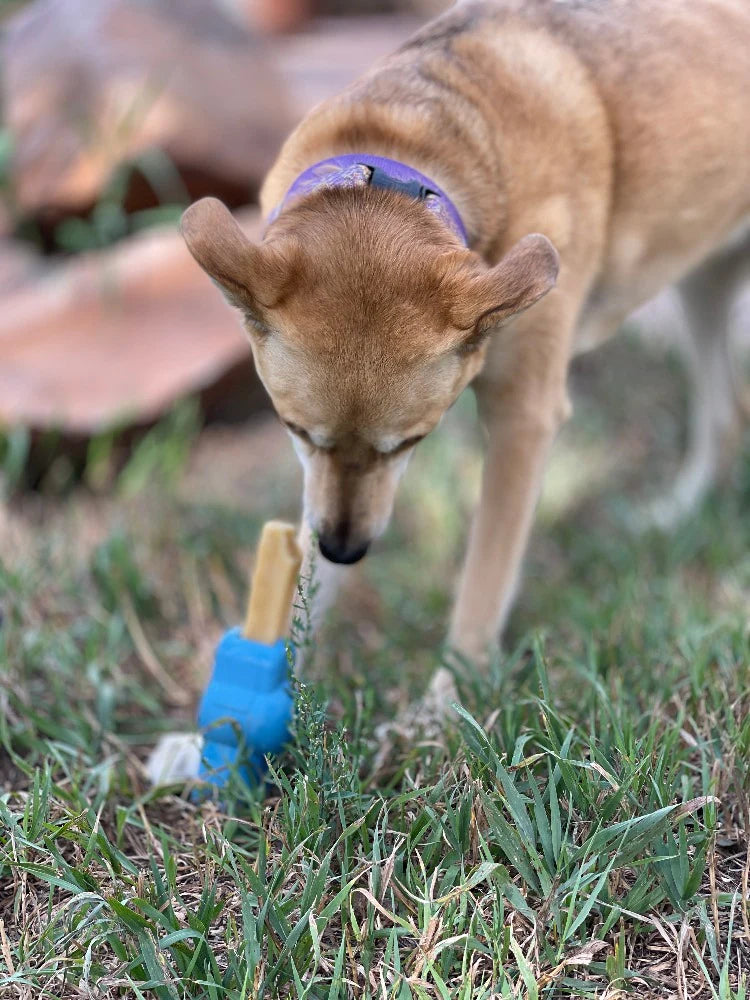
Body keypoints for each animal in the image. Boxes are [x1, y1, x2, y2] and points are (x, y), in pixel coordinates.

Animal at [182, 3, 750, 668]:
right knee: (726, 412)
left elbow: (482, 590)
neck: (401, 172)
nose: (345, 550)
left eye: (412, 441)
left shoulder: (523, 420)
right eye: (294, 430)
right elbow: (304, 588)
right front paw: (279, 678)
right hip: (703, 282)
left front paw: (449, 694)